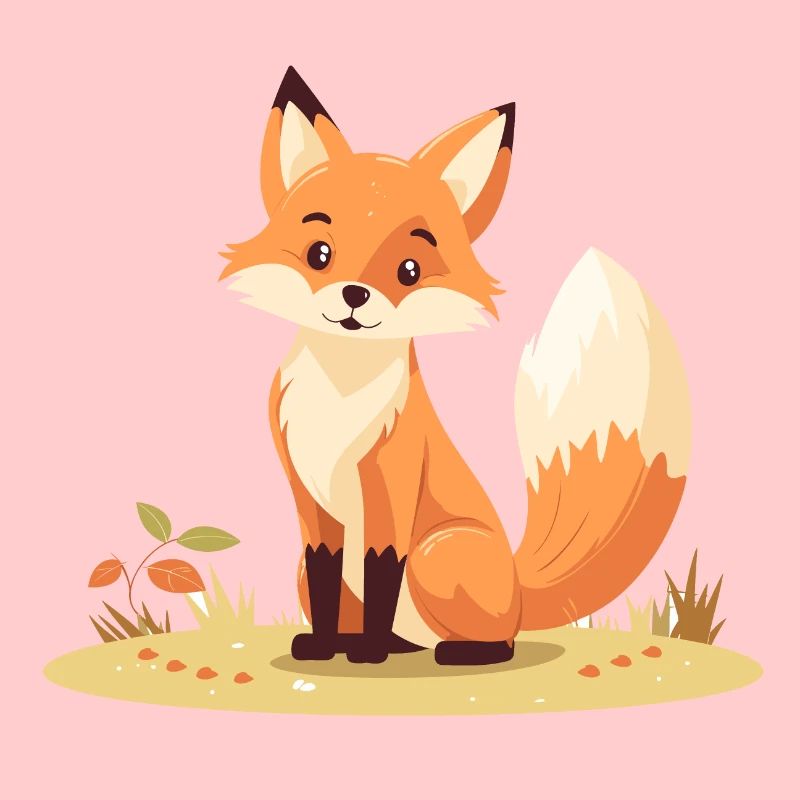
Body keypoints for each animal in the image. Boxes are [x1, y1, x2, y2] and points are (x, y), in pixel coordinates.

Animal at [220, 66, 691, 665]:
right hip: (315, 568)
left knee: (499, 642)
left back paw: (448, 651)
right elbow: (328, 575)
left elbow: (380, 569)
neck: (341, 394)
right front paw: (326, 648)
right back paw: (380, 644)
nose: (354, 296)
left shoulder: (392, 486)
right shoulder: (310, 505)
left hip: (436, 552)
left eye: (409, 269)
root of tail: (519, 590)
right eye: (319, 254)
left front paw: (367, 654)